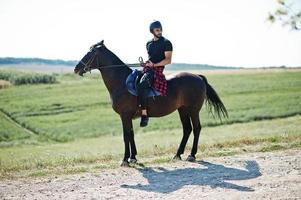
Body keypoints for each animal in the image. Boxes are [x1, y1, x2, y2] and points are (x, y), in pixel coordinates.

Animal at [74, 39, 226, 166]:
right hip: (182, 109)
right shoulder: (128, 116)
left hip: (193, 110)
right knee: (187, 129)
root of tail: (198, 77)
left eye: (90, 52)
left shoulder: (124, 115)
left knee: (196, 128)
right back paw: (177, 154)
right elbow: (131, 134)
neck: (121, 82)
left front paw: (125, 160)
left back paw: (192, 155)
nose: (76, 68)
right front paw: (133, 158)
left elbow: (126, 135)